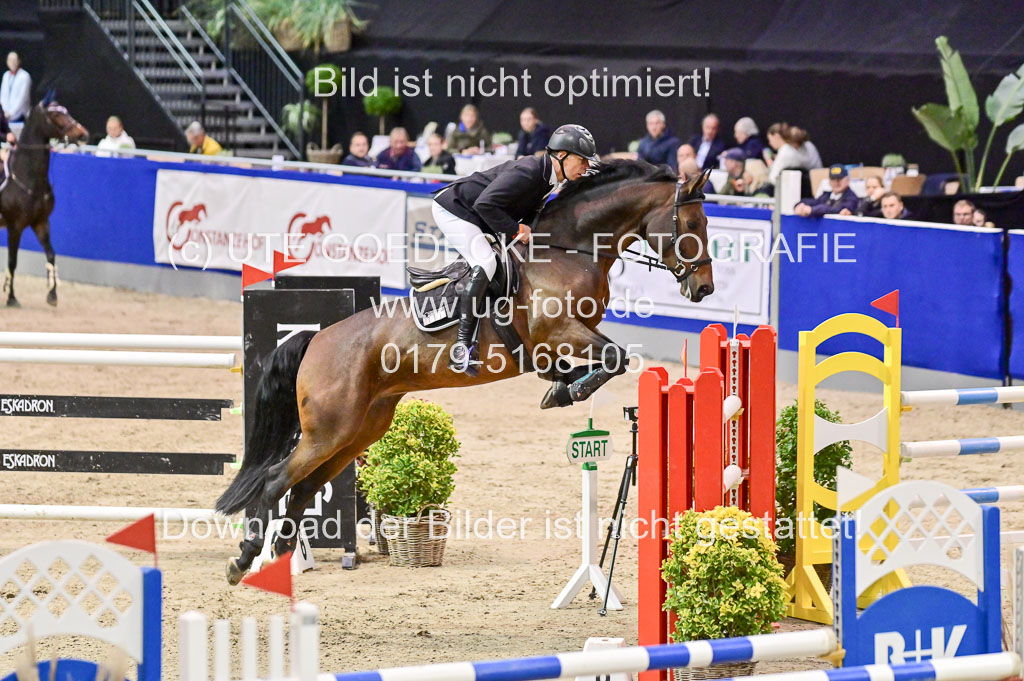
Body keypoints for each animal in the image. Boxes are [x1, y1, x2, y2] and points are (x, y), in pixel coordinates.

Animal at [0, 97, 88, 307]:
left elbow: (51, 255)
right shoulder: (14, 227)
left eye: (67, 111)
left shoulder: (41, 223)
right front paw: (12, 298)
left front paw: (52, 295)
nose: (83, 134)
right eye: (55, 114)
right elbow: (12, 261)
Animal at [216, 159, 715, 584]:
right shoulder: (559, 330)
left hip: (358, 431)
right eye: (692, 225)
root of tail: (315, 340)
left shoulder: (570, 334)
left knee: (302, 490)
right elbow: (614, 358)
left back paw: (279, 558)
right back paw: (246, 558)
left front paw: (560, 386)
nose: (704, 289)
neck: (567, 250)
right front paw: (568, 389)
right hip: (329, 430)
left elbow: (604, 360)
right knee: (277, 480)